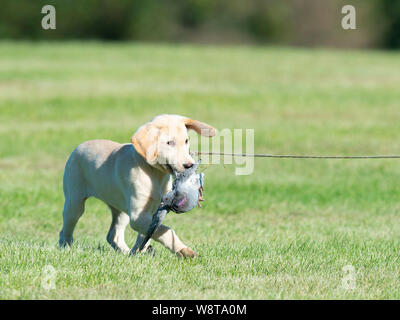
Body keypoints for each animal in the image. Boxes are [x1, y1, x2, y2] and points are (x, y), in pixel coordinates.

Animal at [57, 114, 216, 258]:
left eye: (186, 141)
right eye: (170, 143)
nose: (189, 165)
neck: (154, 174)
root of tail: (79, 146)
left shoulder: (151, 212)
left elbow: (148, 233)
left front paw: (139, 251)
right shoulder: (137, 216)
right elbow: (163, 230)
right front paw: (183, 250)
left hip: (121, 210)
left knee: (113, 235)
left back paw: (126, 252)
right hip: (74, 202)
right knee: (66, 229)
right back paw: (66, 248)